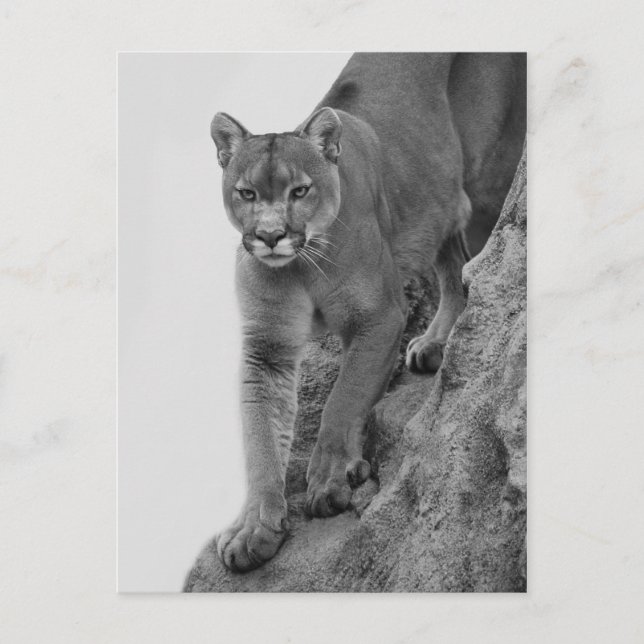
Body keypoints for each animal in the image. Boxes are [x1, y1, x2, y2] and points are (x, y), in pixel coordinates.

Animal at [210, 53, 526, 571]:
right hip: (434, 198)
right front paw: (254, 526)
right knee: (453, 268)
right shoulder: (267, 349)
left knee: (484, 267)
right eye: (247, 193)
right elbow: (260, 437)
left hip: (489, 188)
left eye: (300, 191)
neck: (301, 266)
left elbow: (342, 398)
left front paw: (330, 478)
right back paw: (435, 342)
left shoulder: (379, 317)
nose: (271, 236)